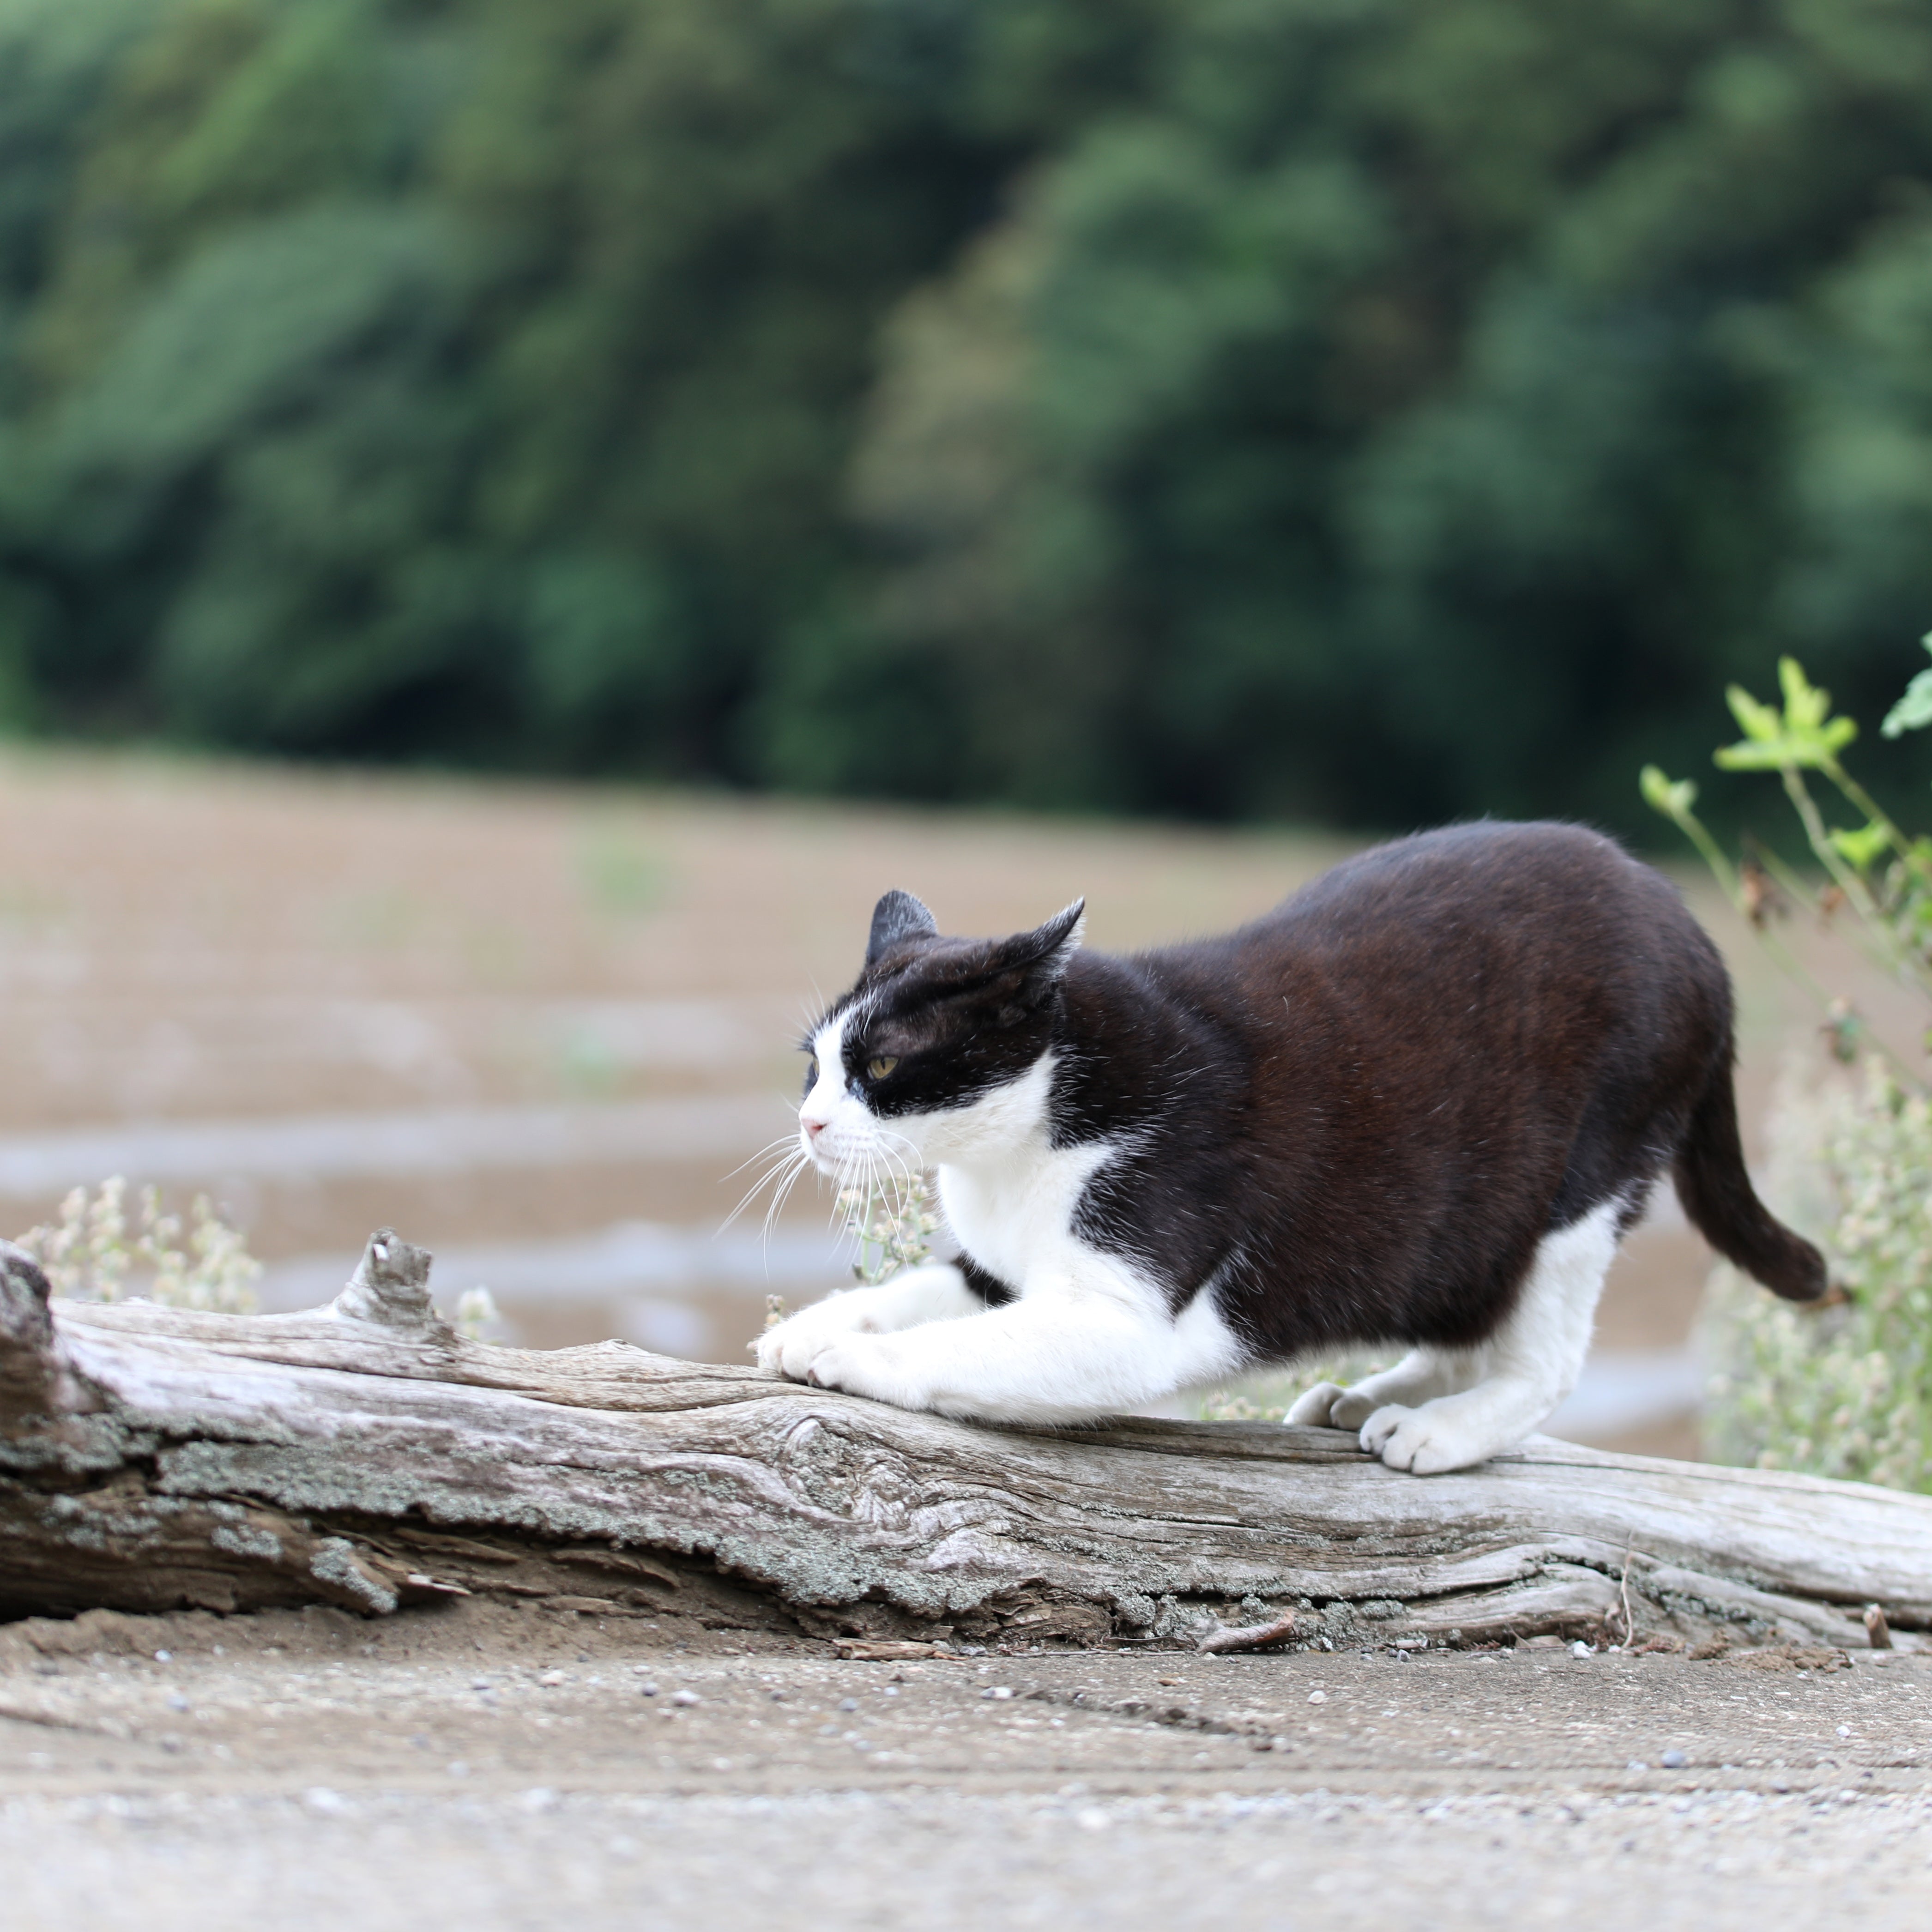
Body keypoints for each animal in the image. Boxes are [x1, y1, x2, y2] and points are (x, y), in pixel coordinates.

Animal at [753, 823, 1823, 1468]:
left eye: (882, 1065)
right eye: (813, 1065)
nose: (811, 1122)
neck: (1018, 1144)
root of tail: (1690, 927)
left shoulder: (1123, 1315)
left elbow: (952, 1344)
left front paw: (848, 1357)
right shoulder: (1000, 1269)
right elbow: (923, 1293)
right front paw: (811, 1326)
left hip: (1584, 1181)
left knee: (1547, 1355)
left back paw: (1437, 1430)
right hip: (1452, 1228)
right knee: (1469, 1313)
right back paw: (1369, 1395)